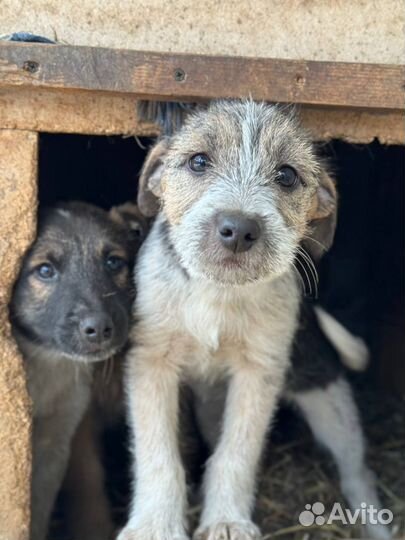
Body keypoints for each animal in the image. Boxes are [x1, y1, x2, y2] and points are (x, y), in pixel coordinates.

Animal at [118, 101, 336, 540]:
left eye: (287, 175)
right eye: (199, 161)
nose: (238, 229)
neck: (216, 293)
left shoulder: (259, 370)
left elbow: (236, 452)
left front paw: (227, 521)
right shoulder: (151, 362)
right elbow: (158, 453)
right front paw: (155, 524)